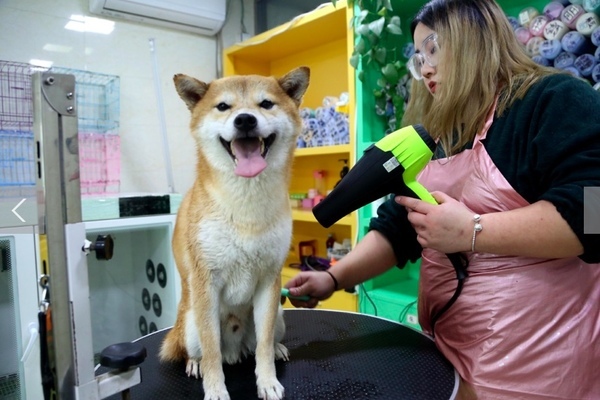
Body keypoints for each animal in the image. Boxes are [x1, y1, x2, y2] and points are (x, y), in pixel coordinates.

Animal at [159, 66, 310, 400]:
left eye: (266, 104)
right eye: (223, 107)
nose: (245, 120)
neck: (246, 209)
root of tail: (235, 349)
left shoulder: (269, 280)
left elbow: (263, 345)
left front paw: (267, 382)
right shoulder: (206, 281)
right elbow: (211, 350)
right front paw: (215, 389)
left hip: (279, 316)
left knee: (262, 343)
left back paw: (277, 349)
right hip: (190, 322)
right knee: (201, 349)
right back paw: (195, 363)